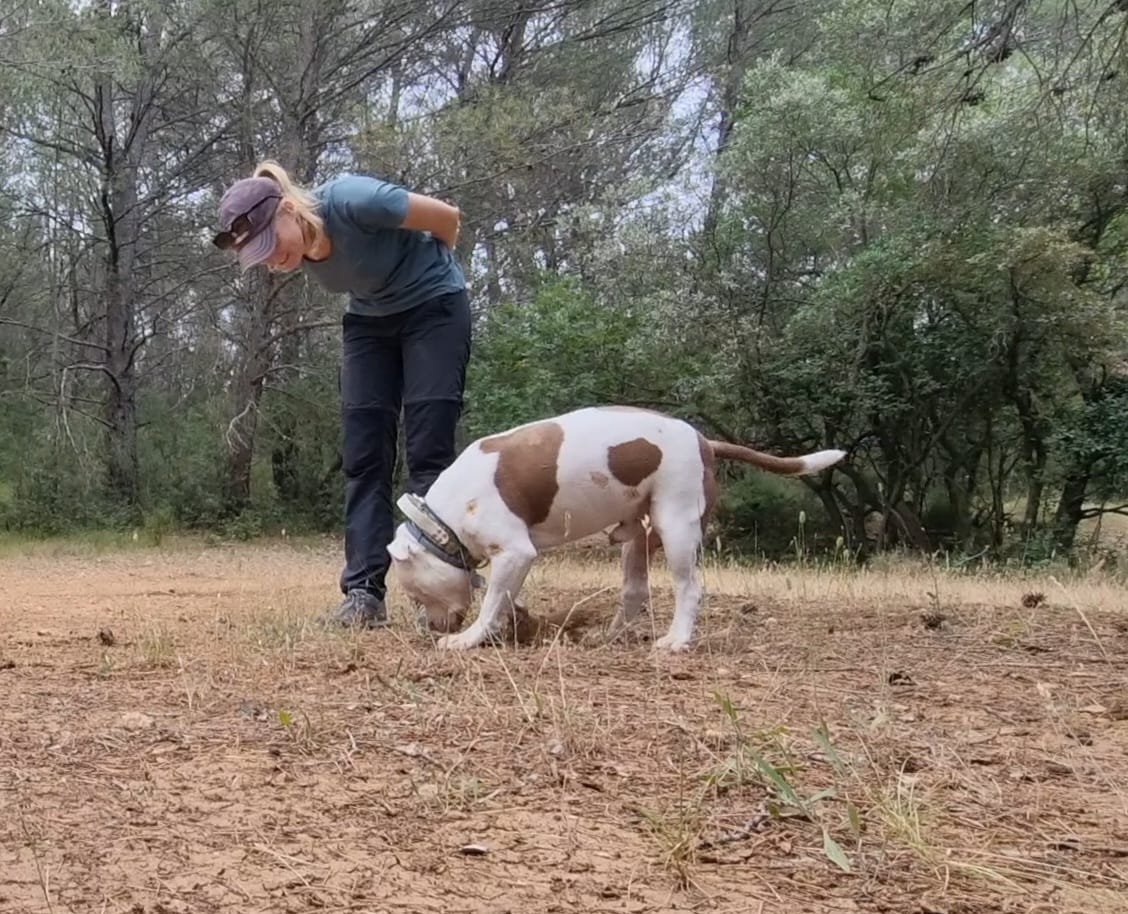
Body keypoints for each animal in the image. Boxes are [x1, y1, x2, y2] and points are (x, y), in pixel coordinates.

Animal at [388, 403, 848, 649]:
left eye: (414, 595)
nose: (428, 629)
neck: (442, 521)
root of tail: (705, 441)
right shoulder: (512, 562)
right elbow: (502, 599)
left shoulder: (515, 553)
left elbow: (490, 602)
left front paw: (468, 639)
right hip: (638, 539)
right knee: (635, 590)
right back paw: (610, 637)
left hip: (677, 528)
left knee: (689, 588)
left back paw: (676, 640)